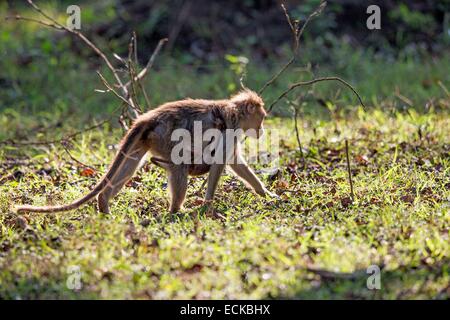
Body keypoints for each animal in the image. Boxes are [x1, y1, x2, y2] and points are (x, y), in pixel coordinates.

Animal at [14, 89, 276, 215]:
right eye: (262, 118)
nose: (262, 130)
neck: (235, 112)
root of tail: (148, 119)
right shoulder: (230, 129)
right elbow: (221, 164)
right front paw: (208, 204)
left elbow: (234, 162)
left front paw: (265, 194)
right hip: (164, 137)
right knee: (179, 165)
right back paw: (176, 210)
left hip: (146, 140)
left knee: (130, 167)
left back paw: (104, 203)